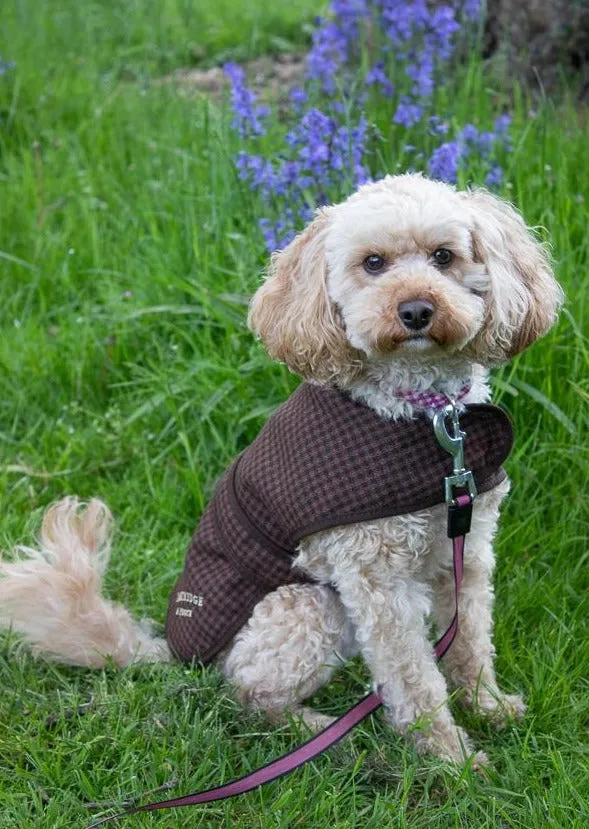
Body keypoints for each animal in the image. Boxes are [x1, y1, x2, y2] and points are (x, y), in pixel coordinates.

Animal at [0, 171, 560, 768]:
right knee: (248, 689)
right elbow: (413, 677)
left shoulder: (468, 549)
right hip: (310, 605)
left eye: (444, 256)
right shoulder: (378, 581)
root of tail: (175, 651)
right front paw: (449, 757)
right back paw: (320, 731)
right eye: (374, 263)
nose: (415, 310)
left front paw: (488, 706)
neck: (426, 415)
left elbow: (471, 640)